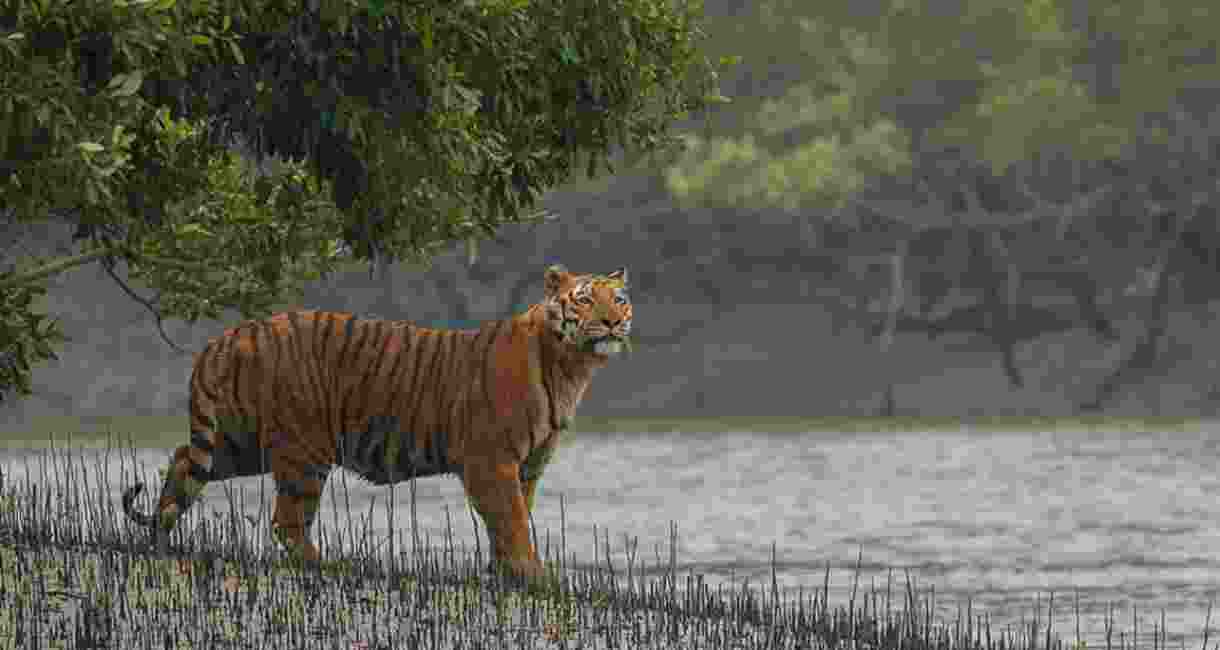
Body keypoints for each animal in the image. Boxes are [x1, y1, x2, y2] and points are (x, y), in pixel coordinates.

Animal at [122, 264, 632, 582]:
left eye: (620, 300)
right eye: (585, 300)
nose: (612, 322)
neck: (571, 366)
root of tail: (229, 335)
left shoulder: (527, 466)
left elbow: (513, 519)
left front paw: (505, 573)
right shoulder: (492, 460)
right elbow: (511, 520)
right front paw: (532, 575)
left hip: (238, 442)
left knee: (182, 463)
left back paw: (159, 539)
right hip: (303, 450)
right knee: (287, 520)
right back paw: (327, 565)